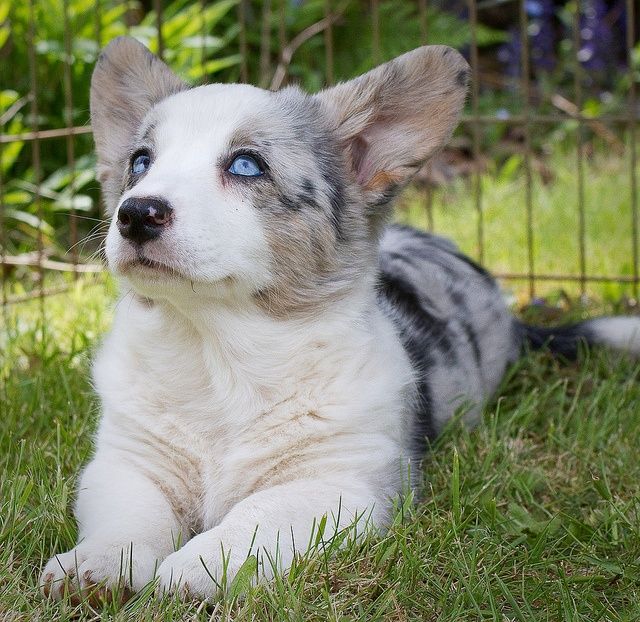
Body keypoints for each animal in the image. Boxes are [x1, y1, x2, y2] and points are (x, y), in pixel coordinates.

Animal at [41, 36, 640, 604]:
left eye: (245, 165)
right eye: (140, 162)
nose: (135, 214)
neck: (216, 348)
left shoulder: (339, 484)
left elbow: (253, 517)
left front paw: (193, 569)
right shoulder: (127, 464)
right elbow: (129, 520)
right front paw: (95, 566)